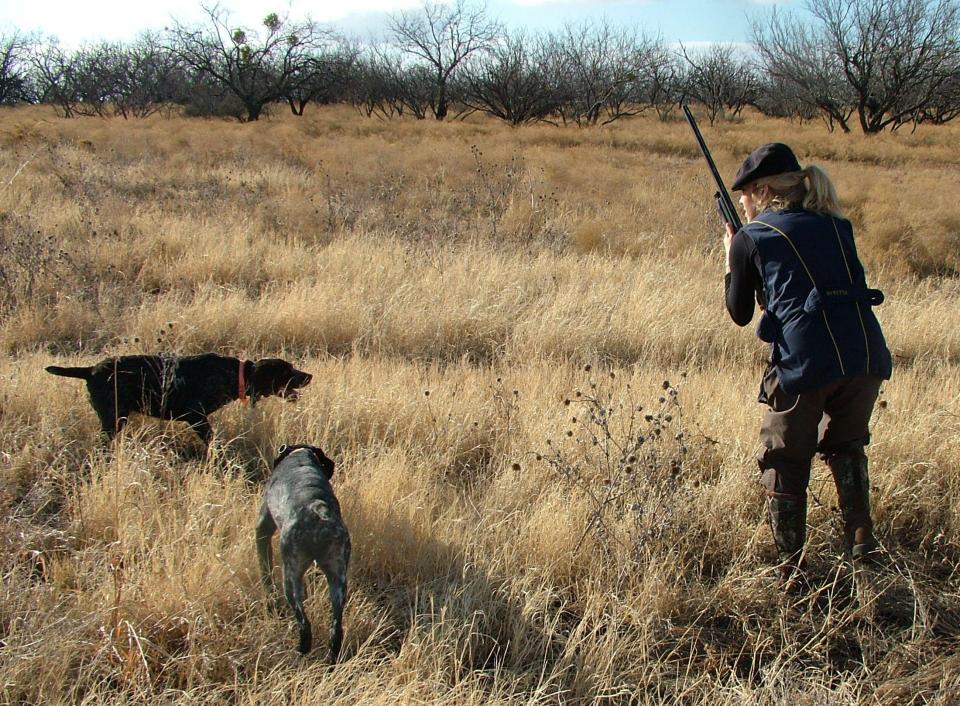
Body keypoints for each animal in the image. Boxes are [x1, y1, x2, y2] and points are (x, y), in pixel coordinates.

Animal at [256, 442, 350, 656]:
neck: (300, 456)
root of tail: (318, 511)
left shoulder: (263, 527)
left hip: (291, 578)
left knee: (304, 623)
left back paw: (301, 650)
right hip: (338, 580)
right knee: (336, 627)